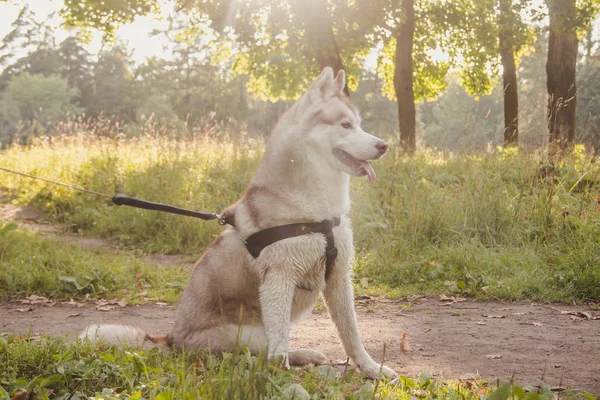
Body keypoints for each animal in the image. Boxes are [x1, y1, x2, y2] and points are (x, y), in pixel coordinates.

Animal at [81, 68, 398, 378]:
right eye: (345, 125)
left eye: (359, 125)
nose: (384, 145)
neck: (316, 210)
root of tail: (171, 339)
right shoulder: (279, 278)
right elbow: (279, 346)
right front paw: (281, 379)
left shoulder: (339, 276)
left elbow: (352, 334)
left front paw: (371, 368)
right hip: (250, 334)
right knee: (263, 351)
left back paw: (307, 354)